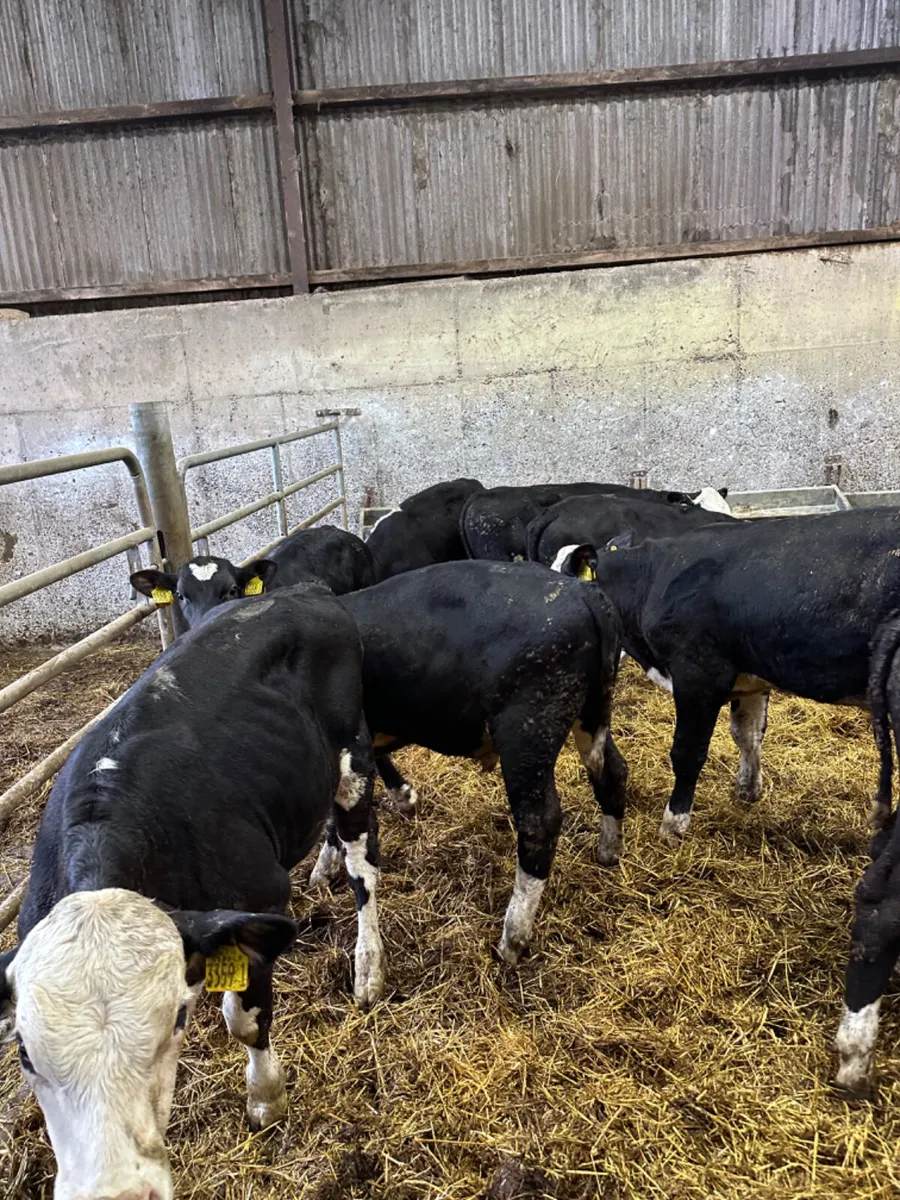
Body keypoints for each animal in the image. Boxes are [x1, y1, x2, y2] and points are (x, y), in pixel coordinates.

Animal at [0, 585, 384, 1200]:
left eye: (176, 1022)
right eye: (25, 1055)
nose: (116, 1191)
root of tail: (304, 590)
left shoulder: (259, 903)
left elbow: (244, 1020)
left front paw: (266, 1100)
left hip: (353, 763)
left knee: (363, 864)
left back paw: (368, 964)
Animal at [307, 561, 626, 965]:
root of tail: (582, 591)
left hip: (528, 727)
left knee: (539, 822)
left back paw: (511, 938)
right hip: (591, 712)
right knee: (612, 771)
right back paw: (609, 851)